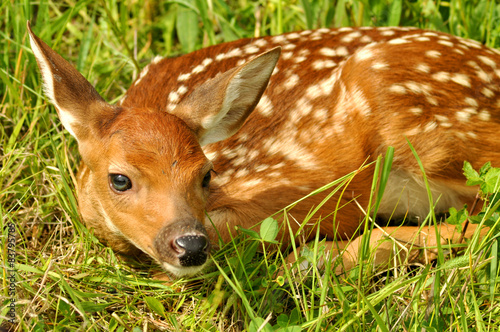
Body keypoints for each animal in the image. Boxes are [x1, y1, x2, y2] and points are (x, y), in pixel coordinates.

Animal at [29, 22, 498, 276]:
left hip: (397, 97)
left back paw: (317, 261)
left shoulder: (300, 183)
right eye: (120, 179)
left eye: (206, 174)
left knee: (486, 225)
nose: (190, 246)